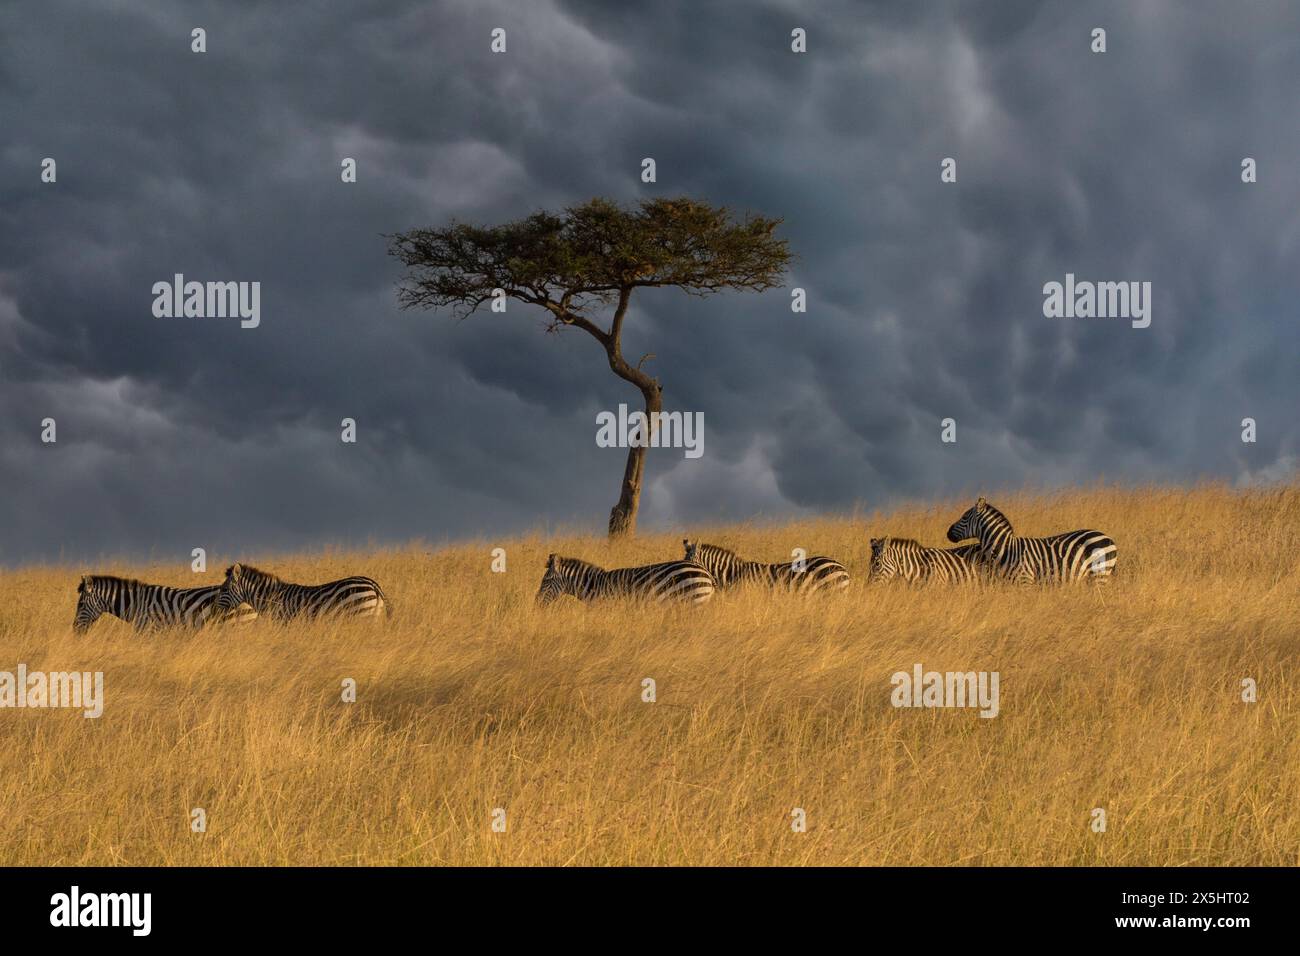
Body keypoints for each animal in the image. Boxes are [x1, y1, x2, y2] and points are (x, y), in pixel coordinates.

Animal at [210, 561, 384, 621]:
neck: (269, 597)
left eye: (224, 589)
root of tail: (373, 584)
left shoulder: (282, 622)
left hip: (360, 614)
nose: (214, 611)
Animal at [946, 502, 1118, 582]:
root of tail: (1109, 538)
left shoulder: (1025, 579)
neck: (1007, 548)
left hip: (1100, 572)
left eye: (964, 517)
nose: (948, 533)